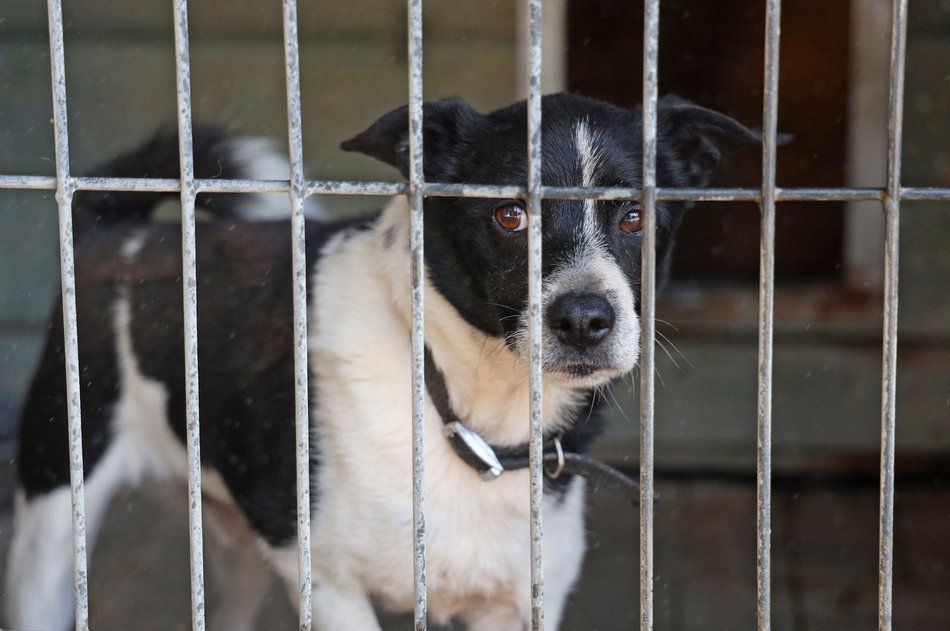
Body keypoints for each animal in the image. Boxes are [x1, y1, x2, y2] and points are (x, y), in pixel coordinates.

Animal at [5, 91, 768, 628]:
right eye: (509, 216)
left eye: (635, 218)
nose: (584, 319)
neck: (463, 414)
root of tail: (115, 234)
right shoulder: (327, 583)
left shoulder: (516, 603)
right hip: (53, 523)